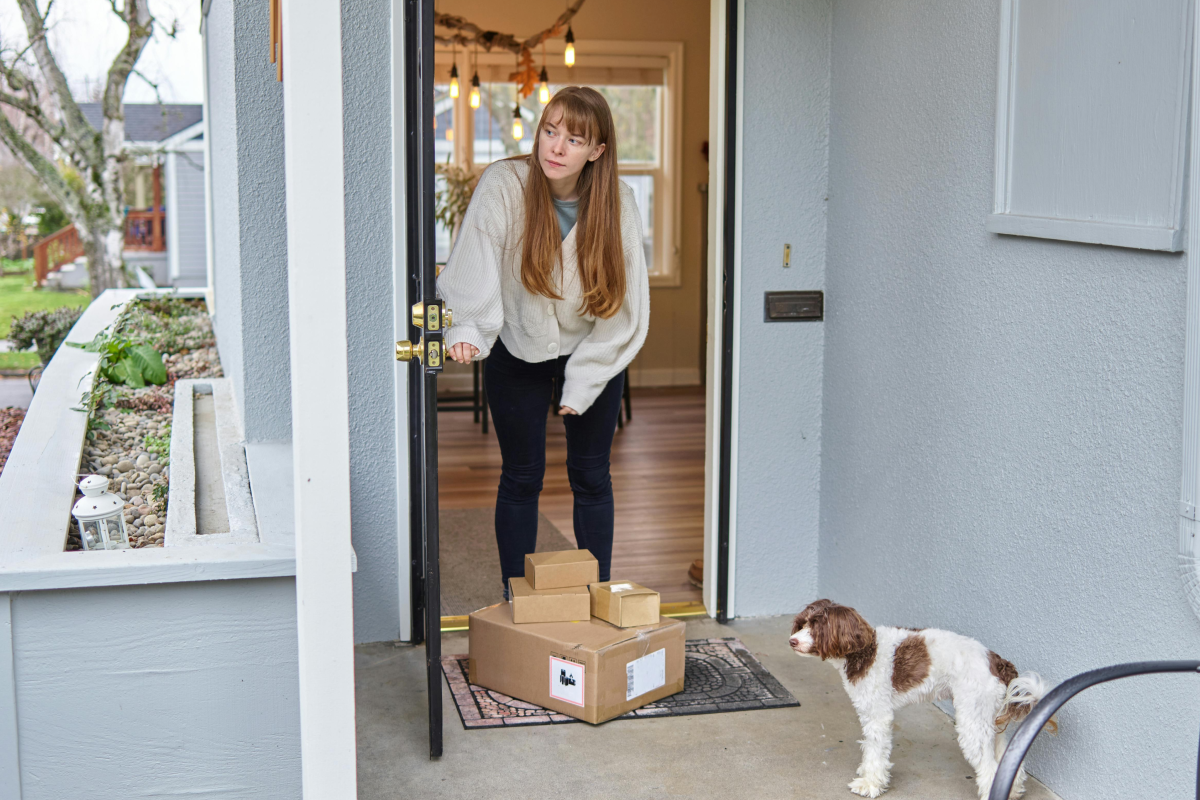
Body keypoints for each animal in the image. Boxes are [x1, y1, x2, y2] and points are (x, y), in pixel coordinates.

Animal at [792, 599, 1056, 800]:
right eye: (803, 623)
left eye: (817, 626)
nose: (791, 640)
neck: (864, 650)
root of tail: (997, 660)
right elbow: (869, 748)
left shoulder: (878, 716)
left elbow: (876, 751)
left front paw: (870, 784)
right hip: (986, 718)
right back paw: (1013, 790)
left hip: (971, 720)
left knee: (989, 768)